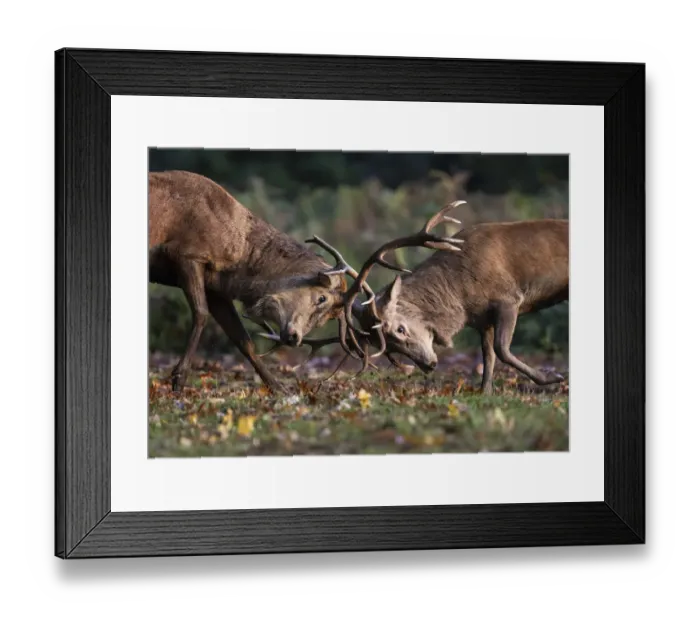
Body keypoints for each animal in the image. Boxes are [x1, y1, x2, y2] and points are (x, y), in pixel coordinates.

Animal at [148, 170, 372, 394]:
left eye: (325, 320)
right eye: (322, 298)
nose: (294, 338)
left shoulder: (215, 286)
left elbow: (242, 339)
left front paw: (279, 388)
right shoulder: (186, 254)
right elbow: (201, 313)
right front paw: (179, 377)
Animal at [261, 202, 569, 394]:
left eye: (399, 328)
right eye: (388, 348)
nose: (429, 365)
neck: (463, 295)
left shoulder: (508, 298)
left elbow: (502, 350)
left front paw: (551, 377)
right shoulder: (482, 319)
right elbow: (488, 355)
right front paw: (485, 392)